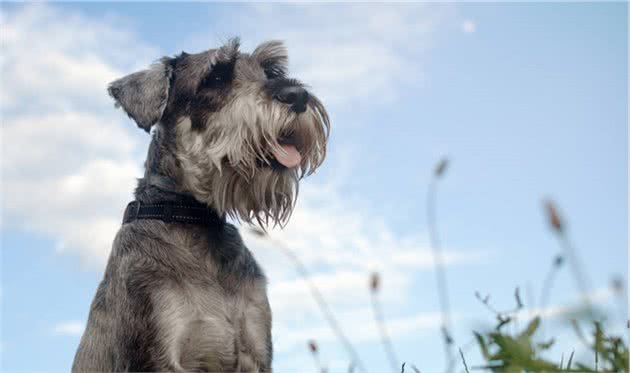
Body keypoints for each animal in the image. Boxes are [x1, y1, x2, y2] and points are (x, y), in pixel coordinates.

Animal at [71, 39, 330, 370]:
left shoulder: (255, 350)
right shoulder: (160, 355)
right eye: (216, 76)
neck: (195, 219)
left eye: (271, 72)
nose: (297, 95)